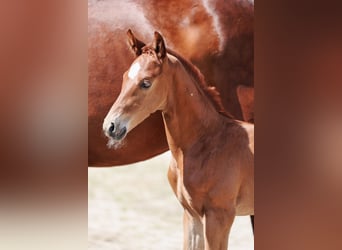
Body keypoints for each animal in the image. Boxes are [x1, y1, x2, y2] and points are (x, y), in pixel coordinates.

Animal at [103, 30, 252, 250]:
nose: (110, 126)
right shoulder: (191, 215)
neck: (209, 141)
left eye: (146, 82)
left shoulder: (220, 216)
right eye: (124, 78)